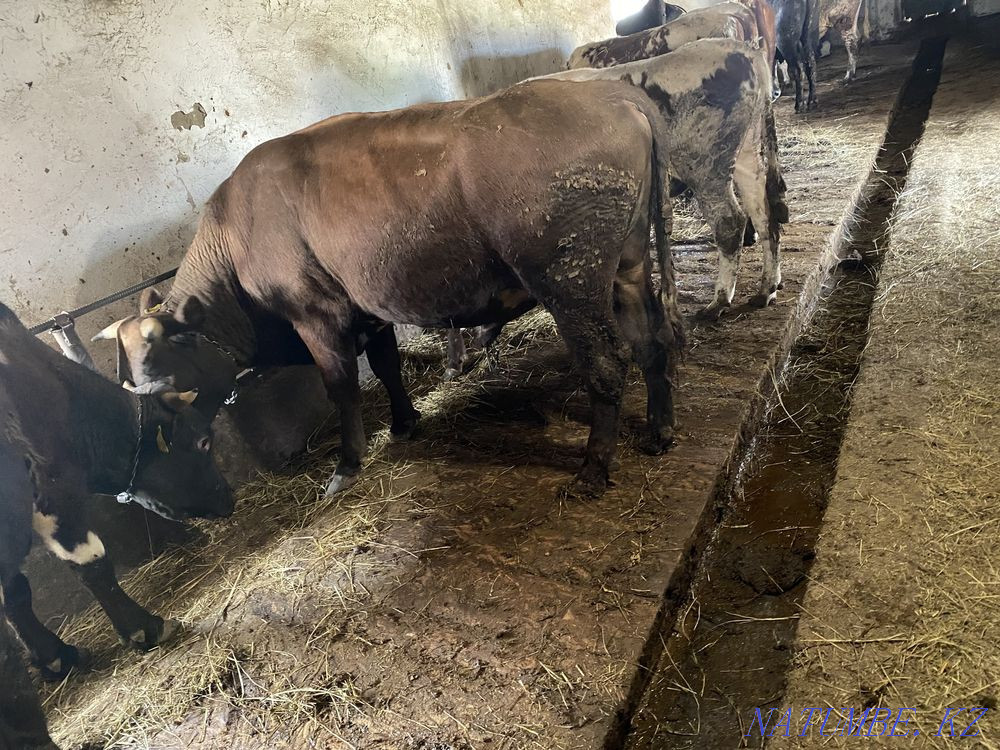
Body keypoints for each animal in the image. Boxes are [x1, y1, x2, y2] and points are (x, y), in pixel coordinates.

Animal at [0, 302, 233, 679]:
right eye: (203, 441)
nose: (228, 496)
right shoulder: (55, 494)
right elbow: (93, 564)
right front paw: (143, 627)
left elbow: (14, 593)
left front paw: (55, 656)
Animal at [90, 79, 684, 499]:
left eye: (166, 385)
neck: (234, 237)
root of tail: (612, 94)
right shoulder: (368, 308)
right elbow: (388, 365)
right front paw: (404, 422)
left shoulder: (316, 315)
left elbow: (343, 388)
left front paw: (346, 466)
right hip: (626, 267)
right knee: (652, 342)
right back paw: (659, 433)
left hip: (570, 279)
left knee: (607, 361)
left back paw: (593, 469)